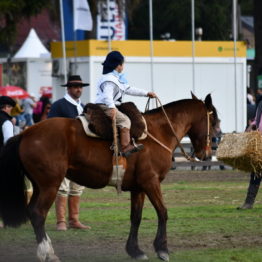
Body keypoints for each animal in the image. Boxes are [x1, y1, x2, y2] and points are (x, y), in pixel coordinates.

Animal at [0, 93, 218, 260]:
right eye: (215, 120)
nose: (208, 152)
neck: (158, 132)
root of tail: (26, 133)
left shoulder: (138, 188)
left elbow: (136, 217)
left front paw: (135, 250)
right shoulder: (151, 182)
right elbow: (163, 212)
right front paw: (162, 249)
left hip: (39, 186)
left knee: (32, 212)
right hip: (50, 186)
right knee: (38, 214)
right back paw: (48, 253)